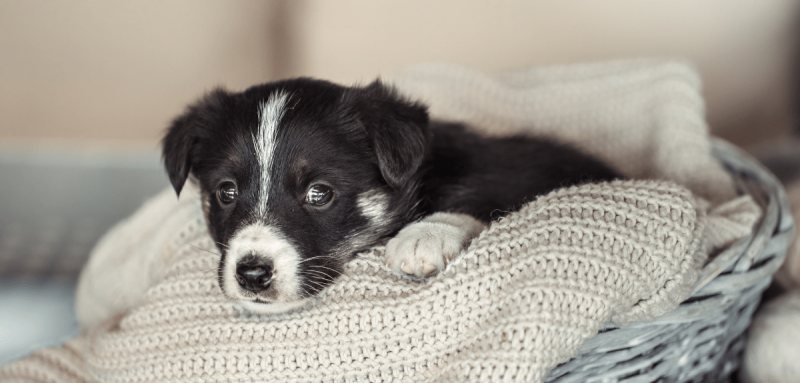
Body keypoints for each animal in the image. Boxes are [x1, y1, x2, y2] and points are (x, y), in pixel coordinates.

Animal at [161, 78, 620, 316]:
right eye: (226, 191)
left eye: (319, 193)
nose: (252, 274)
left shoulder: (513, 179)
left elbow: (480, 203)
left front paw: (424, 237)